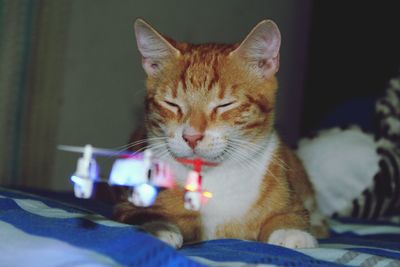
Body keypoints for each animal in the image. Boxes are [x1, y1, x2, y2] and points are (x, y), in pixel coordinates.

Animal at [113, 18, 328, 249]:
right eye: (171, 104)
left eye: (225, 105)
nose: (191, 137)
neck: (214, 178)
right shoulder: (126, 205)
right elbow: (146, 214)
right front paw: (160, 228)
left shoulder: (291, 199)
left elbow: (291, 214)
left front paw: (290, 231)